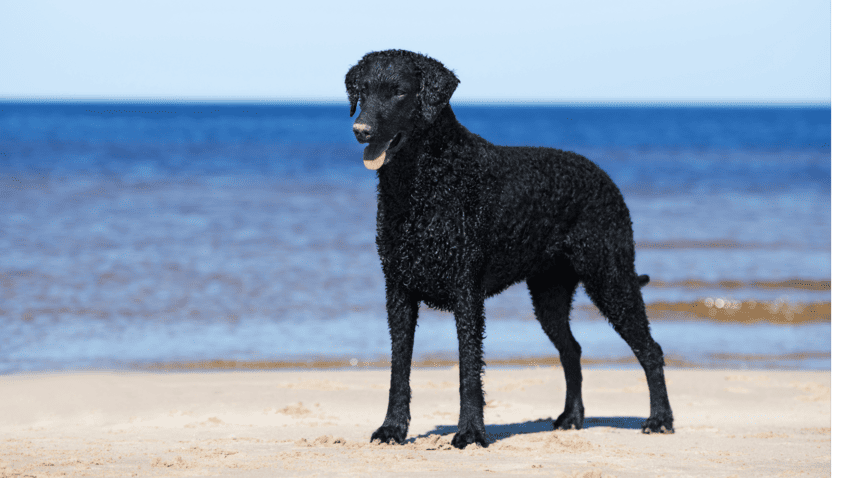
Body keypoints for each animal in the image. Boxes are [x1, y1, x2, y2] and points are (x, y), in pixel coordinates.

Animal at [342, 49, 668, 448]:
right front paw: (392, 428)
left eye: (399, 92)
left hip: (611, 277)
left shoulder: (466, 292)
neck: (424, 182)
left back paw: (660, 419)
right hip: (549, 294)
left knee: (650, 350)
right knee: (572, 350)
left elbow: (469, 369)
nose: (361, 131)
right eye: (363, 89)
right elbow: (398, 368)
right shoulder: (398, 291)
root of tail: (604, 176)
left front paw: (470, 432)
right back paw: (572, 417)